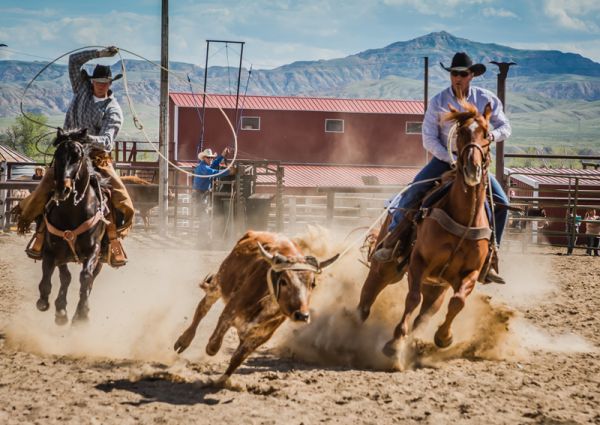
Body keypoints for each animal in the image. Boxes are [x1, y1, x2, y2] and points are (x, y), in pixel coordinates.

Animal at [35, 127, 108, 322]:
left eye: (77, 156)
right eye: (57, 155)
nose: (63, 189)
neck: (72, 212)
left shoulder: (93, 250)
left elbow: (85, 277)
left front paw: (81, 315)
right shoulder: (52, 250)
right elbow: (51, 276)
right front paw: (49, 304)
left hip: (101, 258)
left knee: (91, 280)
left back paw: (82, 311)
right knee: (66, 277)